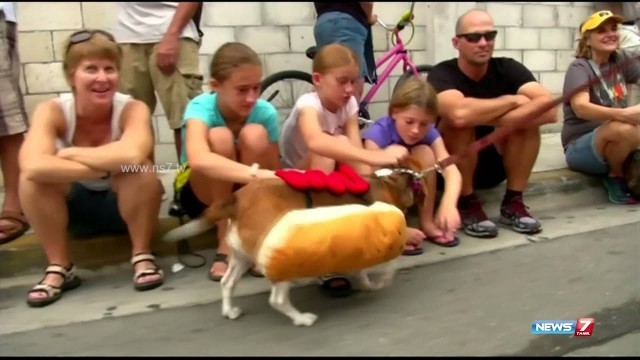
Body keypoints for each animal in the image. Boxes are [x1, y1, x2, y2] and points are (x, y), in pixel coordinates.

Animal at [162, 156, 428, 324]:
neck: (389, 182)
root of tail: (238, 198)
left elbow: (361, 270)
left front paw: (367, 284)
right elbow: (387, 268)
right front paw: (380, 281)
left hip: (241, 256)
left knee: (227, 283)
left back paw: (230, 311)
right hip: (283, 256)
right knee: (277, 300)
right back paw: (301, 318)